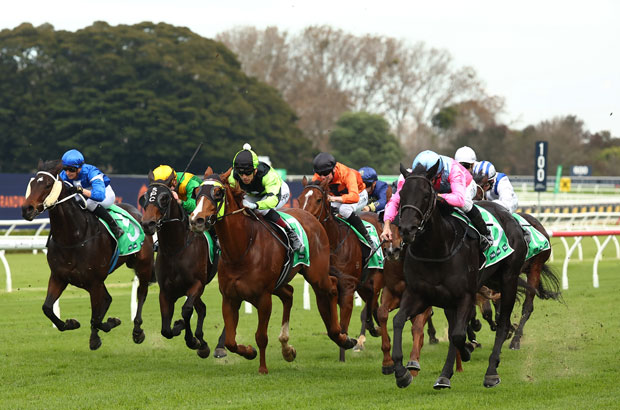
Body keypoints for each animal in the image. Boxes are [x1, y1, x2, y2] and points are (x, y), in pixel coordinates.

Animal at [21, 159, 155, 350]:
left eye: (47, 185)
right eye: (32, 184)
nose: (27, 209)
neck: (73, 238)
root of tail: (138, 213)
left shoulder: (94, 281)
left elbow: (96, 318)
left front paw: (109, 324)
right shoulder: (59, 277)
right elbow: (47, 308)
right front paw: (71, 323)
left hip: (143, 265)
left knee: (141, 293)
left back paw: (137, 331)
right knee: (107, 299)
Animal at [140, 168, 225, 358]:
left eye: (164, 197)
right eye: (145, 197)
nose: (148, 223)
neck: (175, 249)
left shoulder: (196, 284)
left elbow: (186, 310)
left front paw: (191, 339)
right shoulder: (165, 291)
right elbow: (165, 330)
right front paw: (194, 338)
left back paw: (218, 345)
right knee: (202, 308)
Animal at [189, 168, 356, 374]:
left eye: (218, 193)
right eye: (196, 192)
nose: (196, 219)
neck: (241, 249)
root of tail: (310, 216)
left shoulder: (263, 297)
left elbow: (261, 336)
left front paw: (263, 368)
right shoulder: (229, 298)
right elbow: (230, 342)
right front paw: (249, 352)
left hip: (316, 274)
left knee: (331, 286)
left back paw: (340, 335)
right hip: (281, 283)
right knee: (289, 294)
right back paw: (287, 349)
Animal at [296, 178, 382, 360]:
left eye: (318, 200)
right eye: (299, 199)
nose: (303, 220)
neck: (333, 244)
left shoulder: (348, 288)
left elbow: (343, 325)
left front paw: (345, 350)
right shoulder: (321, 290)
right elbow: (332, 328)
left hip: (377, 277)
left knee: (374, 298)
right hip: (363, 285)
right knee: (372, 302)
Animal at [390, 163, 524, 388]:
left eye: (426, 195)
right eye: (401, 193)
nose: (407, 229)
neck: (435, 250)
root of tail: (508, 215)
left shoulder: (465, 296)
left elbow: (459, 335)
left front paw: (468, 351)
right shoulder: (419, 294)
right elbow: (398, 320)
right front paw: (401, 373)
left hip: (509, 279)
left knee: (503, 324)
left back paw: (491, 371)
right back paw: (445, 374)